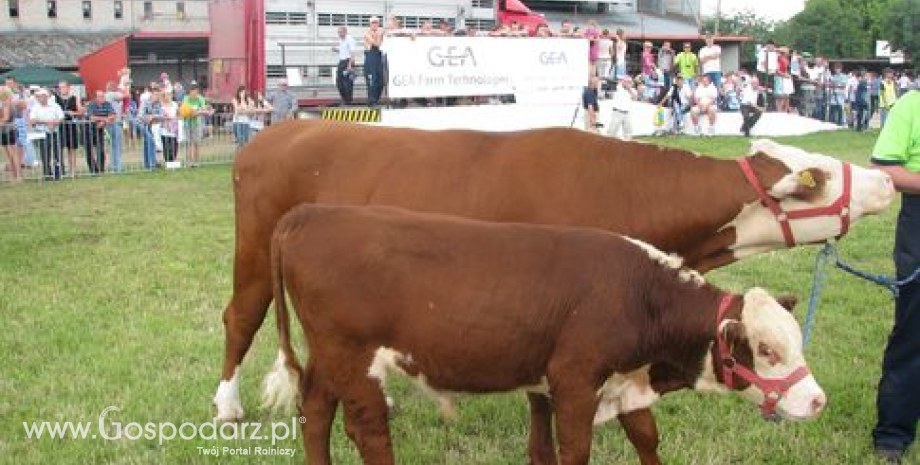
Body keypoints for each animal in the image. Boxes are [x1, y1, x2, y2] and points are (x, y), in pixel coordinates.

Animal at [264, 206, 828, 464]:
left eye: (796, 342)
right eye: (767, 350)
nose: (818, 401)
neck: (639, 293)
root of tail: (312, 213)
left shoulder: (617, 378)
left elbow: (643, 437)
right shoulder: (576, 382)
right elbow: (573, 450)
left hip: (328, 356)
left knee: (316, 410)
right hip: (354, 358)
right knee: (369, 432)